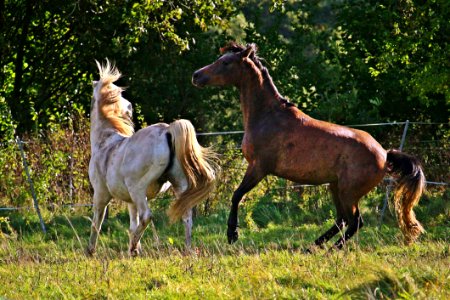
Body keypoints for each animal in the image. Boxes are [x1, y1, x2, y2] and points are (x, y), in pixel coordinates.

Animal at [88, 60, 218, 255]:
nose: (129, 108)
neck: (105, 141)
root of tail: (167, 130)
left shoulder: (101, 195)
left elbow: (97, 222)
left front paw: (90, 250)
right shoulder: (130, 201)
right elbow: (132, 224)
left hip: (137, 189)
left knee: (147, 216)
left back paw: (132, 248)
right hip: (179, 184)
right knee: (186, 216)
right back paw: (187, 250)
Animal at [192, 41, 426, 248]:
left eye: (225, 62)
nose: (196, 75)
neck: (267, 116)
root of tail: (384, 154)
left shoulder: (258, 167)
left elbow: (236, 195)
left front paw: (232, 234)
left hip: (348, 192)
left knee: (355, 222)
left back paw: (331, 249)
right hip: (335, 187)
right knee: (342, 219)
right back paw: (313, 246)